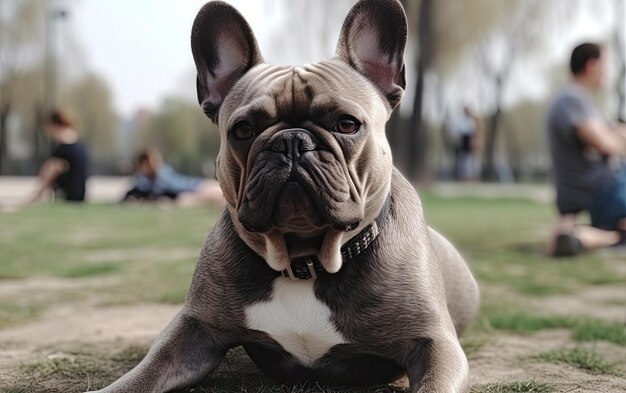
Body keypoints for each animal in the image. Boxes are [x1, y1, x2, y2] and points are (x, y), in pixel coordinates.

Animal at [88, 0, 478, 390]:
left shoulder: (434, 343)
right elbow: (144, 374)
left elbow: (433, 383)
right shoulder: (195, 328)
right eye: (243, 130)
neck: (304, 263)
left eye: (347, 124)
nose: (291, 141)